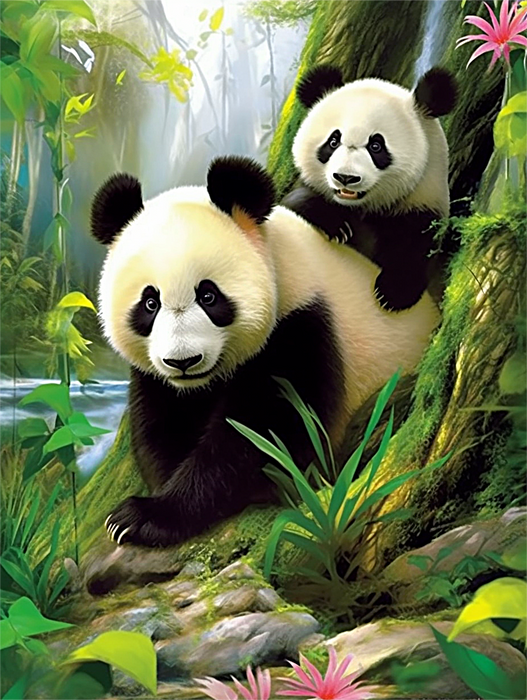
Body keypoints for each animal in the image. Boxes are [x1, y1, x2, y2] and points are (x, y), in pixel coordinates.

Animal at [90, 156, 439, 548]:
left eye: (208, 296)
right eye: (150, 303)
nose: (184, 362)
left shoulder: (303, 327)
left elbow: (265, 441)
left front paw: (148, 516)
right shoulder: (159, 378)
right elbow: (162, 422)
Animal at [282, 66, 458, 312]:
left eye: (376, 146)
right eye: (333, 142)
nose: (345, 177)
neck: (363, 208)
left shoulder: (422, 203)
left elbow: (415, 248)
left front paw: (392, 293)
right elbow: (296, 200)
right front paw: (338, 227)